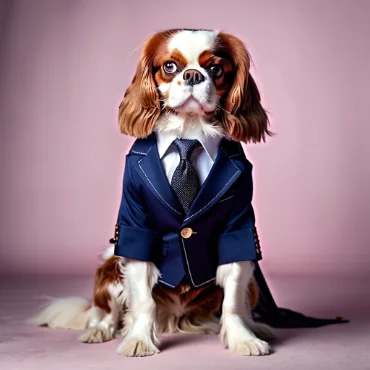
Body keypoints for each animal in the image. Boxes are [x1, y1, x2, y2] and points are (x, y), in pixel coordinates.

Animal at [30, 28, 276, 356]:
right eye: (169, 66)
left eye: (215, 69)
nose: (193, 75)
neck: (188, 133)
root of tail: (174, 315)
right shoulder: (137, 225)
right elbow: (143, 300)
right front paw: (139, 340)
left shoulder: (238, 227)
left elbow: (234, 299)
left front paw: (242, 338)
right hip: (109, 267)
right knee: (108, 313)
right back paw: (101, 330)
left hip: (252, 282)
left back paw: (256, 327)